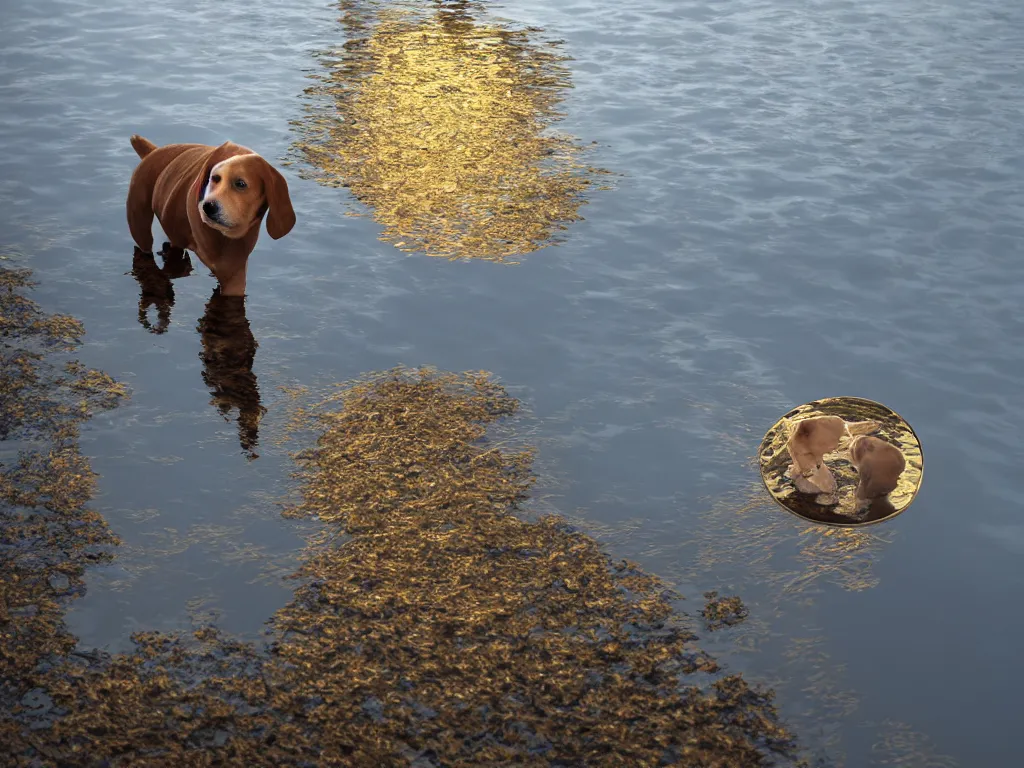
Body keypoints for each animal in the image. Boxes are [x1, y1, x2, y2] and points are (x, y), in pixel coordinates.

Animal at [123, 136, 294, 296]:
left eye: (240, 184)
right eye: (214, 178)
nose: (208, 206)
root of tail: (153, 151)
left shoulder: (234, 273)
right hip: (140, 223)